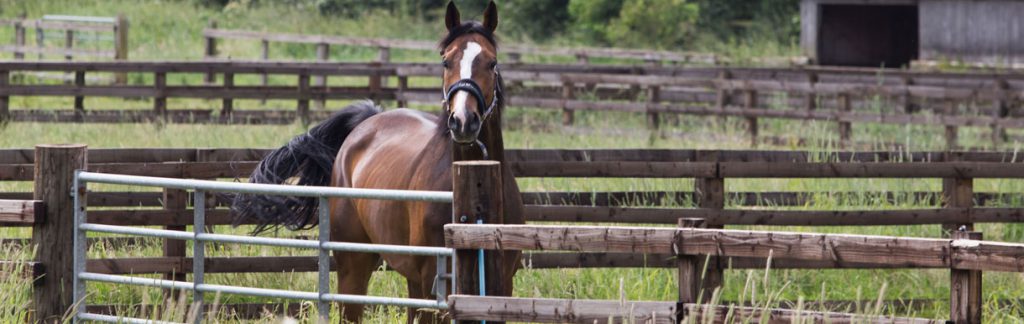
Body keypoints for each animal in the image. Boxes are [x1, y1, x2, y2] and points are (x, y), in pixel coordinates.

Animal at [230, 1, 520, 321]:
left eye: (492, 63)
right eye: (446, 61)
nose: (463, 121)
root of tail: (367, 120)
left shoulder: (501, 287)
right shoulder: (433, 286)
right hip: (355, 267)